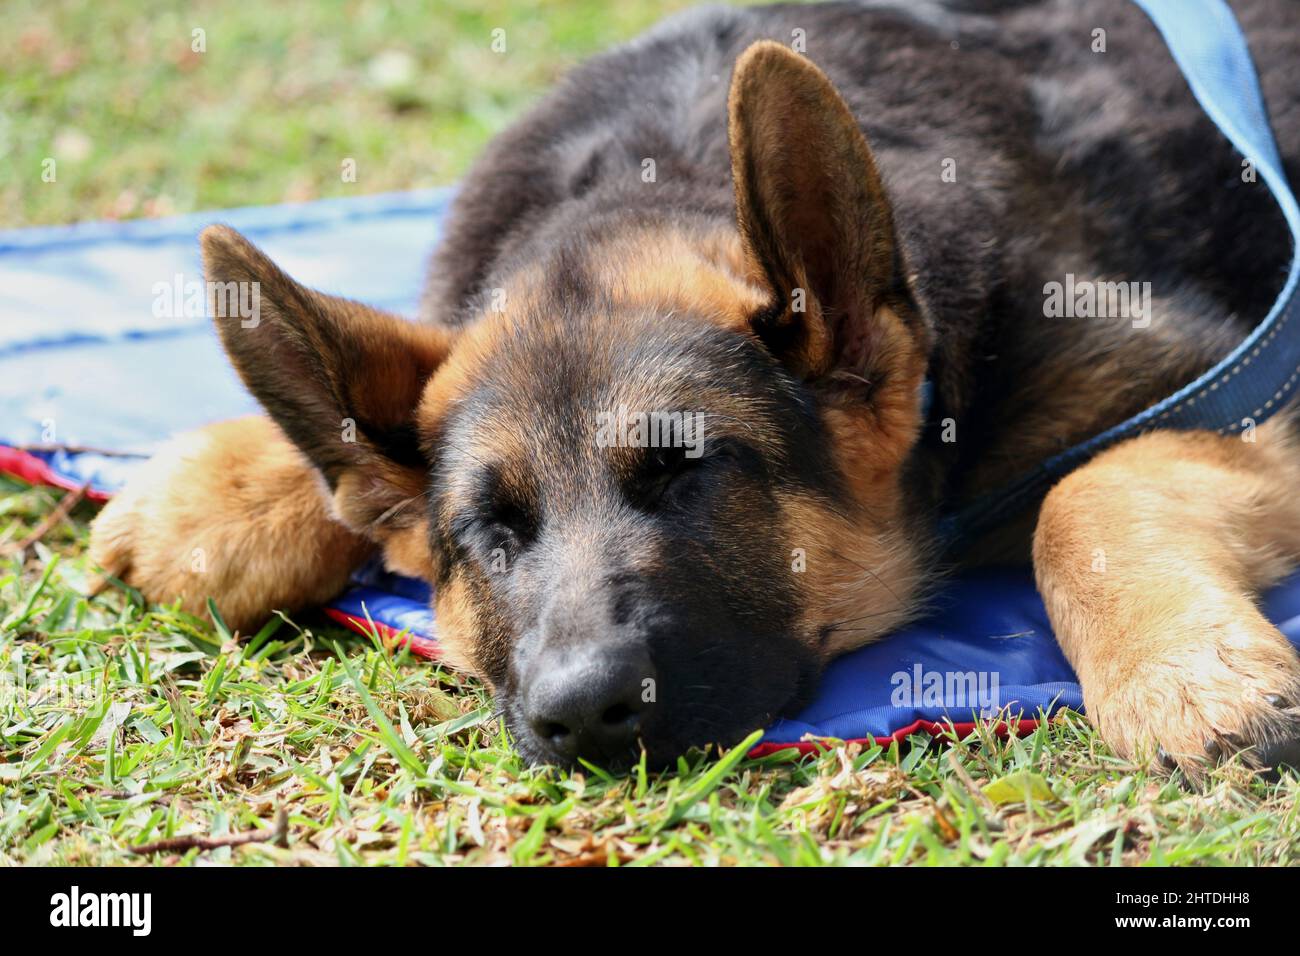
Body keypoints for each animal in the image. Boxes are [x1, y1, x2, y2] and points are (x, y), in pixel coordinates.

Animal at [89, 0, 1300, 775]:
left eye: (687, 474)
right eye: (488, 533)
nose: (582, 714)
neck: (653, 184)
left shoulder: (1233, 387)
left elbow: (1081, 495)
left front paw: (1183, 670)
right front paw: (231, 484)